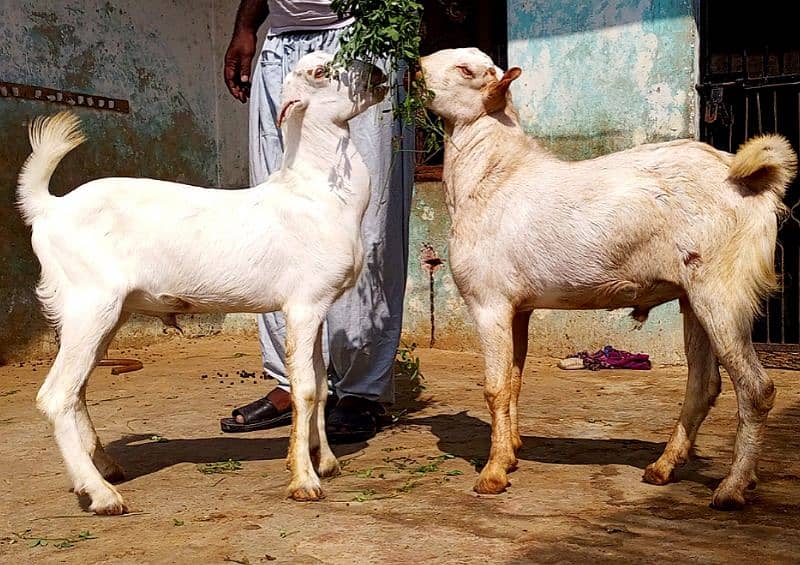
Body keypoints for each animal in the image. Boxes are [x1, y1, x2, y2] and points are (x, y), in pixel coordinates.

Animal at [18, 50, 388, 512]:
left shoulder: (318, 305)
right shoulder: (303, 305)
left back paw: (103, 469)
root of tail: (48, 207)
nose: (378, 74)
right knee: (55, 396)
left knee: (78, 391)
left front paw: (326, 462)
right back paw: (102, 494)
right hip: (89, 301)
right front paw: (304, 480)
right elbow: (303, 388)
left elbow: (321, 387)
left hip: (105, 313)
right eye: (320, 72)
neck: (316, 192)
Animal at [422, 47, 796, 506]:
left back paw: (732, 487)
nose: (416, 67)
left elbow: (495, 386)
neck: (492, 175)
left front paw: (492, 475)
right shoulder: (518, 308)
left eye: (466, 70)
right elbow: (514, 379)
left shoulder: (488, 301)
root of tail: (748, 176)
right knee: (704, 383)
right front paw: (509, 455)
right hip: (693, 295)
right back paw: (665, 468)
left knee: (756, 389)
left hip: (723, 289)